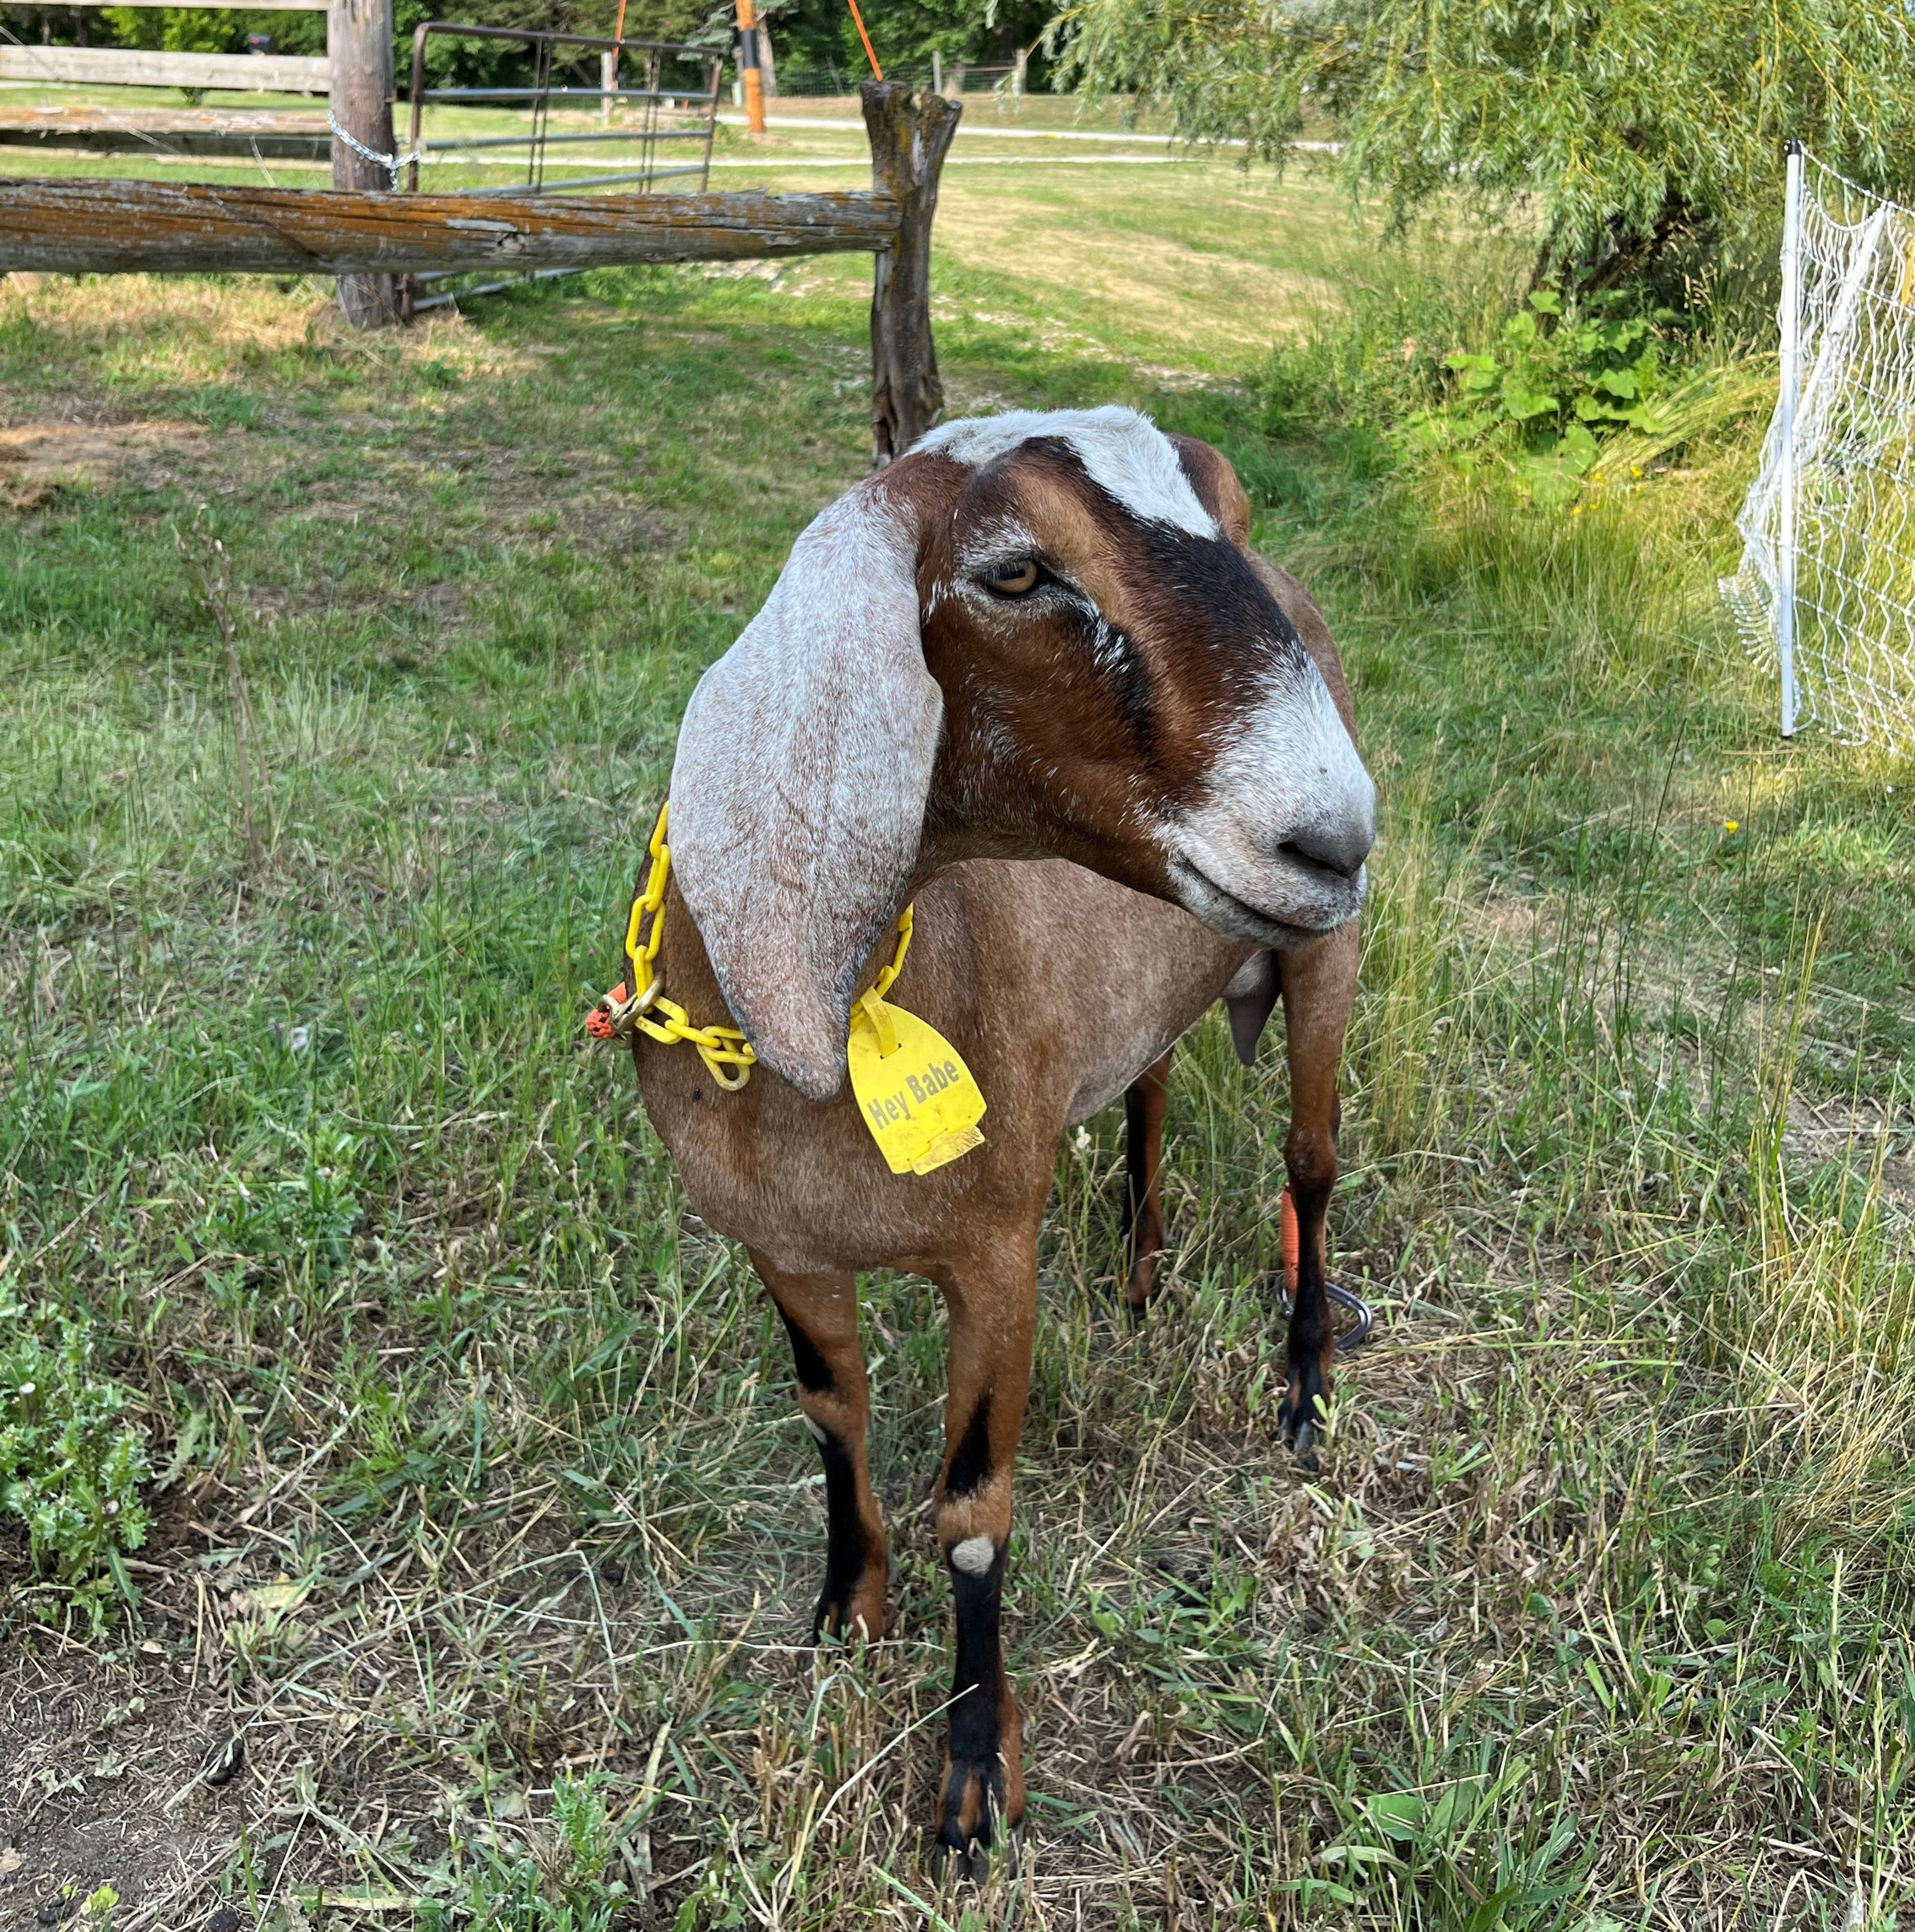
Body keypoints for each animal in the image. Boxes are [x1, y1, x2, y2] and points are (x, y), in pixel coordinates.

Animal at [603, 406, 1374, 1868]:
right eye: (1015, 572)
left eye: (1228, 510)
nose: (1335, 836)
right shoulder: (783, 1247)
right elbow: (831, 1410)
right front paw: (846, 1607)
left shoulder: (996, 1255)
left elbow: (973, 1514)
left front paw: (972, 1777)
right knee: (1150, 1088)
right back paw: (1140, 1277)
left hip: (1327, 965)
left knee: (1310, 1163)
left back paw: (1302, 1385)